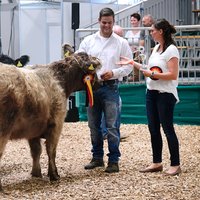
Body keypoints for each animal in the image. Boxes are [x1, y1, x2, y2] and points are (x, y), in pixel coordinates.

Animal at [0, 50, 101, 191]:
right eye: (93, 71)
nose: (100, 82)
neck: (59, 80)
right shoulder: (56, 124)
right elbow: (51, 150)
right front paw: (54, 174)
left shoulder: (33, 129)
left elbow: (36, 151)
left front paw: (36, 173)